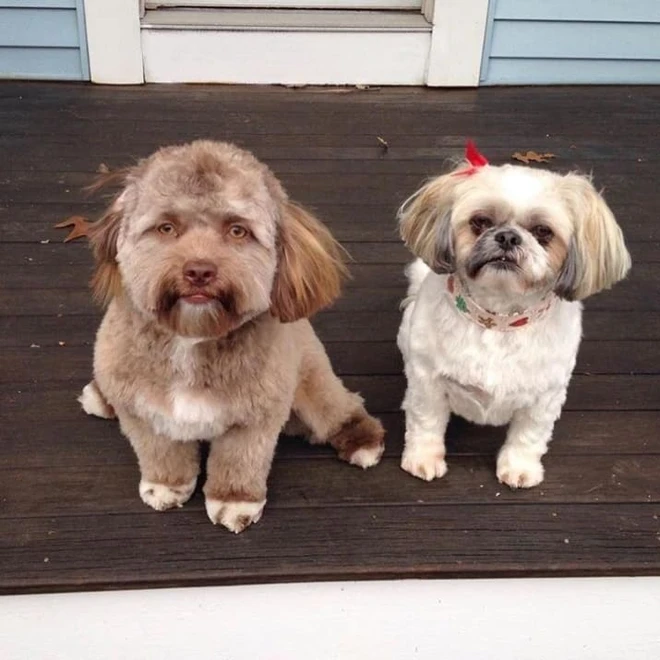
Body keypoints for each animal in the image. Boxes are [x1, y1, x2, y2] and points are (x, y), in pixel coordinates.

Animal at [79, 139, 384, 532]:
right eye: (166, 227)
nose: (198, 271)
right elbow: (160, 452)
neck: (190, 339)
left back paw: (362, 440)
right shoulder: (143, 412)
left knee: (341, 408)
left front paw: (235, 503)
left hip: (312, 381)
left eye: (237, 231)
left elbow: (239, 462)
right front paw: (166, 485)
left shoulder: (254, 418)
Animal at [394, 147, 632, 488]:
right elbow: (426, 422)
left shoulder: (545, 397)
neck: (499, 320)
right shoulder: (428, 381)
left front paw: (519, 468)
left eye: (543, 232)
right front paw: (423, 459)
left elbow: (528, 436)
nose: (507, 237)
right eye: (480, 222)